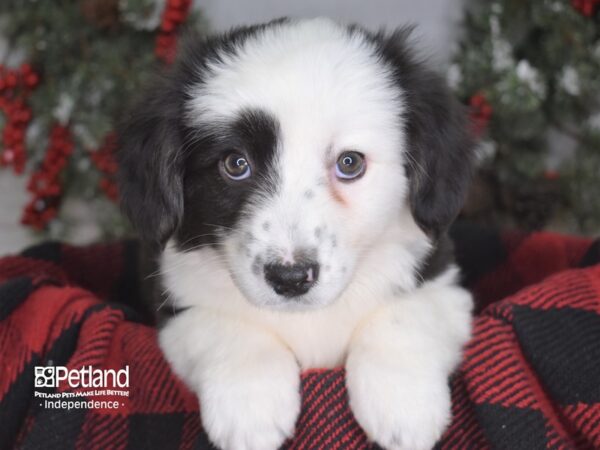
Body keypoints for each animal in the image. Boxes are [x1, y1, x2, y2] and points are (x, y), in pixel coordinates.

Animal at [116, 17, 474, 450]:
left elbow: (406, 316)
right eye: (235, 164)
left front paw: (404, 406)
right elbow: (223, 326)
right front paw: (249, 408)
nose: (290, 278)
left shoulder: (442, 280)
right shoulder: (174, 296)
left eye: (350, 163)